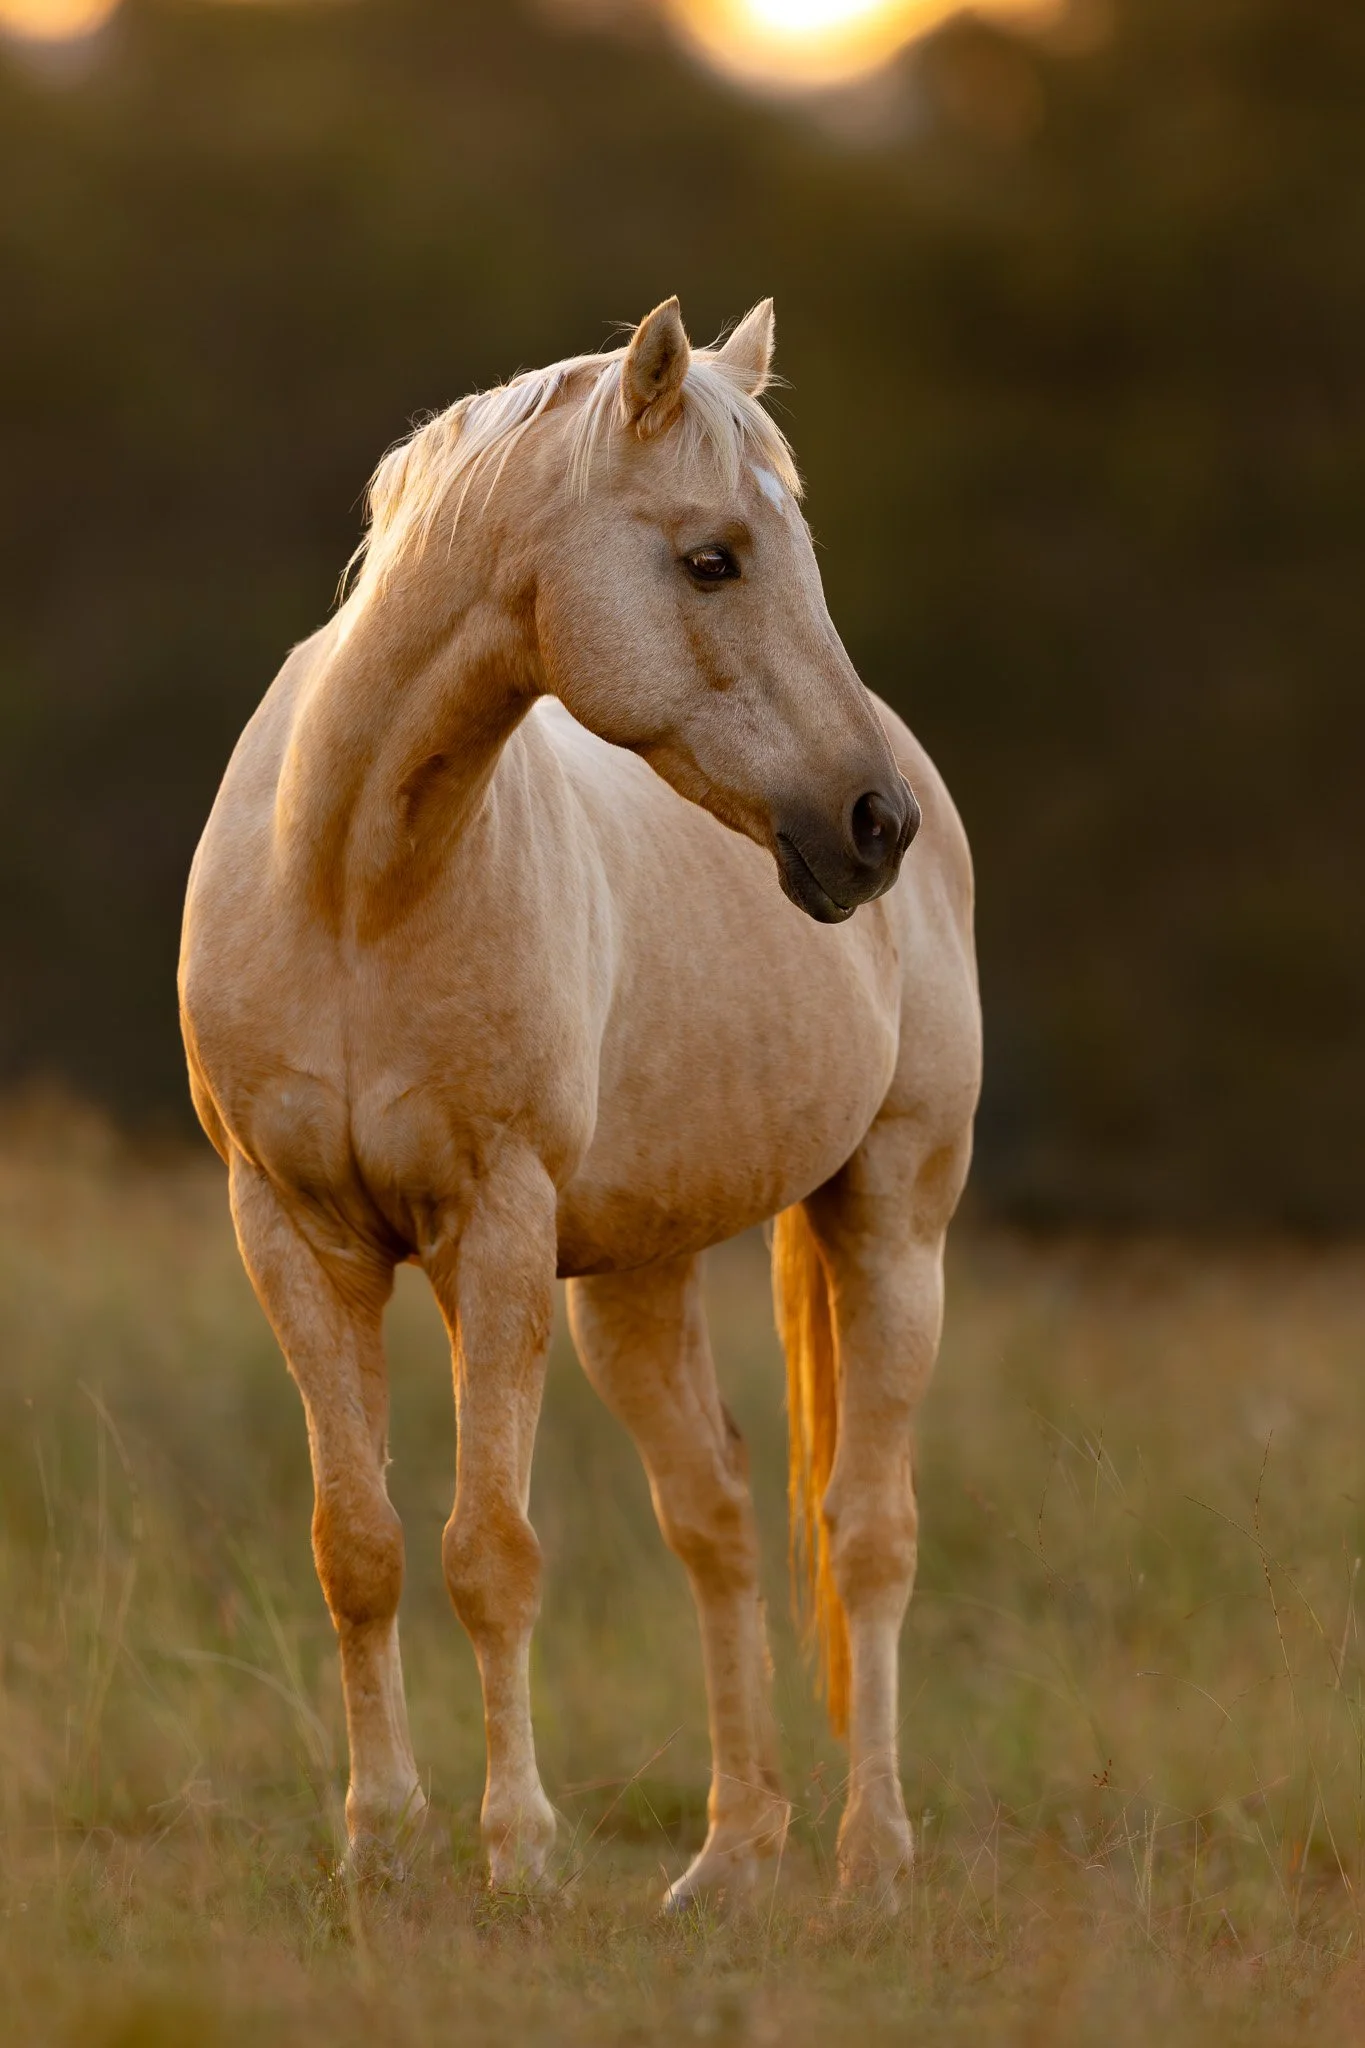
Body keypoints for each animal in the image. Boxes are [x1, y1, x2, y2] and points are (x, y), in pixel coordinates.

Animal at [179, 296, 981, 1907]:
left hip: (891, 1216)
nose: (872, 827)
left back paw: (869, 1861)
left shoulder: (491, 1227)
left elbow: (492, 1551)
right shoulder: (293, 1232)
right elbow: (357, 1546)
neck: (351, 885)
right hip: (634, 1278)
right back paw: (730, 1860)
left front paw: (519, 1854)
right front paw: (377, 1845)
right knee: (719, 1520)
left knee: (866, 1533)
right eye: (712, 555)